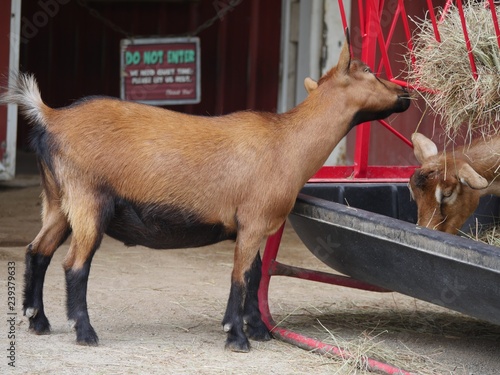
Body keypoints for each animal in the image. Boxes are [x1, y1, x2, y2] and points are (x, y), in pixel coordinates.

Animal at [0, 33, 410, 352]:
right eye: (370, 71)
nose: (405, 94)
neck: (286, 142)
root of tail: (51, 116)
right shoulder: (254, 221)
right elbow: (241, 276)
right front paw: (237, 337)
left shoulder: (255, 226)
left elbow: (255, 275)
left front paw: (258, 331)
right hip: (88, 200)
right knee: (75, 265)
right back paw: (85, 333)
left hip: (58, 202)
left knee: (37, 251)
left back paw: (38, 321)